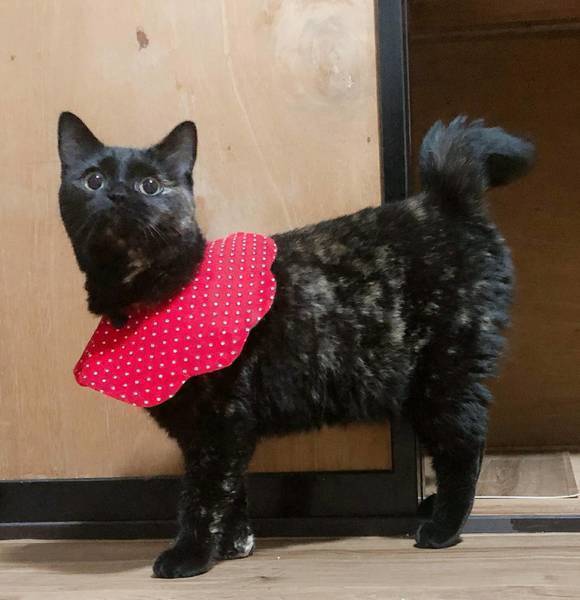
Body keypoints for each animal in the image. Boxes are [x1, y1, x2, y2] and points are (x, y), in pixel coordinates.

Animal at [58, 112, 534, 578]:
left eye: (151, 185)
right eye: (92, 179)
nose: (117, 194)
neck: (152, 292)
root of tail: (444, 202)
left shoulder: (218, 422)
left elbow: (203, 495)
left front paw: (191, 554)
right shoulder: (215, 429)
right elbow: (231, 490)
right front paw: (234, 545)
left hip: (444, 372)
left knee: (463, 446)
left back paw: (442, 527)